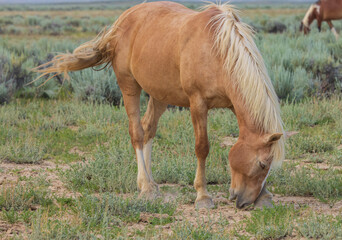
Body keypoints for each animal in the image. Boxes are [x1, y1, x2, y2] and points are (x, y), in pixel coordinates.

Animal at [35, 0, 286, 209]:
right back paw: (145, 187)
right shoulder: (198, 104)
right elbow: (202, 147)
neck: (217, 51)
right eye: (261, 165)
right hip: (129, 86)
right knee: (137, 132)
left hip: (159, 95)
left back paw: (151, 183)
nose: (243, 201)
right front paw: (202, 196)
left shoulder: (234, 103)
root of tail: (123, 20)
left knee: (148, 129)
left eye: (268, 166)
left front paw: (265, 196)